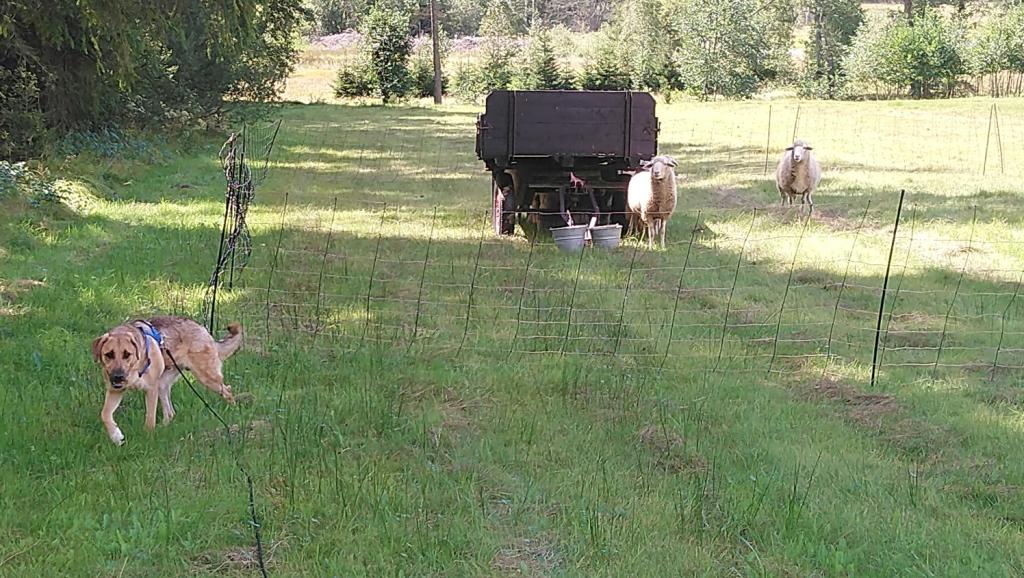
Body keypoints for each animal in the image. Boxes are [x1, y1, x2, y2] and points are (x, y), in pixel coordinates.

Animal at [92, 316, 242, 445]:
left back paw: (233, 411)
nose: (118, 377)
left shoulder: (151, 390)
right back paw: (163, 427)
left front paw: (147, 438)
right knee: (171, 413)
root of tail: (202, 329)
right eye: (109, 354)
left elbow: (150, 419)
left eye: (127, 354)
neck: (134, 368)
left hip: (207, 377)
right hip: (163, 385)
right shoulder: (114, 391)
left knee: (227, 390)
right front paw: (116, 436)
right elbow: (104, 414)